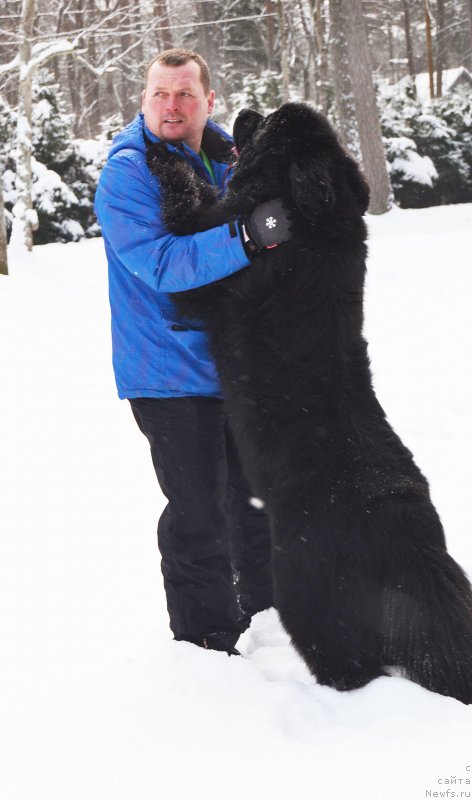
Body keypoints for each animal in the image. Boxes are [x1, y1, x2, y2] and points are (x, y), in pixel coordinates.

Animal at [147, 101, 472, 708]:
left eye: (271, 124)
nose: (247, 108)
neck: (310, 226)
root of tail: (406, 536)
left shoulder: (203, 271)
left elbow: (186, 207)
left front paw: (159, 152)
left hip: (309, 598)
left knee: (346, 665)